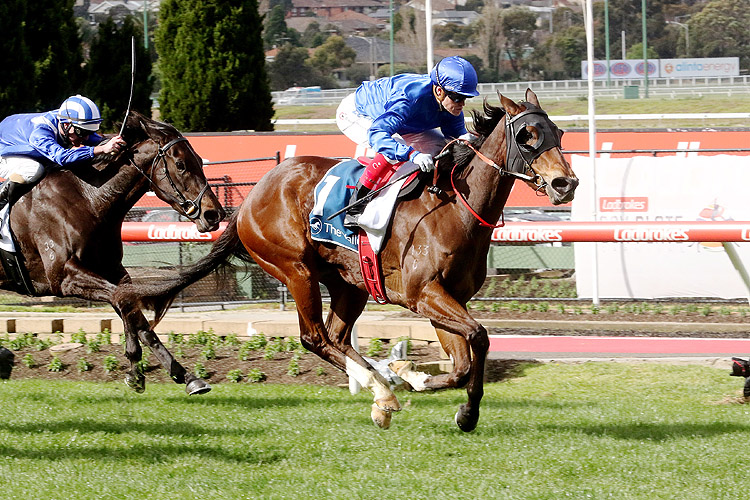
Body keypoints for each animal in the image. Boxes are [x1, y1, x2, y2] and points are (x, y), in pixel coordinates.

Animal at [2, 111, 226, 396]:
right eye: (181, 164)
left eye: (199, 160)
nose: (214, 214)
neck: (88, 198)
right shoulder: (63, 277)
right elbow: (124, 300)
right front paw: (134, 364)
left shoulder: (112, 270)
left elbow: (133, 311)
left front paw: (186, 376)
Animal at [138, 89, 580, 430]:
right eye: (526, 135)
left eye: (558, 133)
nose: (566, 183)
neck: (455, 206)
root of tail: (249, 199)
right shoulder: (424, 294)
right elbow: (479, 337)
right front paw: (422, 385)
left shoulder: (447, 298)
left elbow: (461, 363)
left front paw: (430, 390)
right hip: (295, 268)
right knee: (314, 338)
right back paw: (382, 390)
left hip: (350, 284)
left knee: (336, 337)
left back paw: (382, 387)